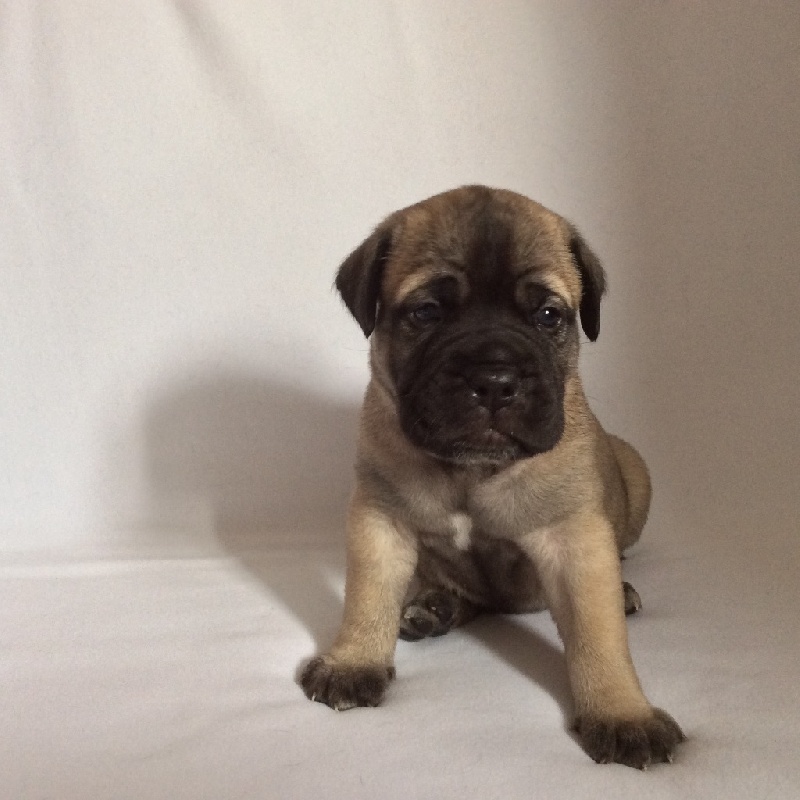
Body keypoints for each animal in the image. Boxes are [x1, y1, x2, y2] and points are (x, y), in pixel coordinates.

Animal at [300, 186, 684, 768]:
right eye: (427, 312)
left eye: (548, 315)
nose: (495, 379)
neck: (472, 469)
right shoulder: (380, 520)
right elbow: (367, 597)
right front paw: (353, 662)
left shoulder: (575, 541)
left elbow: (598, 636)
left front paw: (622, 713)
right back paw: (435, 606)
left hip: (633, 470)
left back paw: (621, 591)